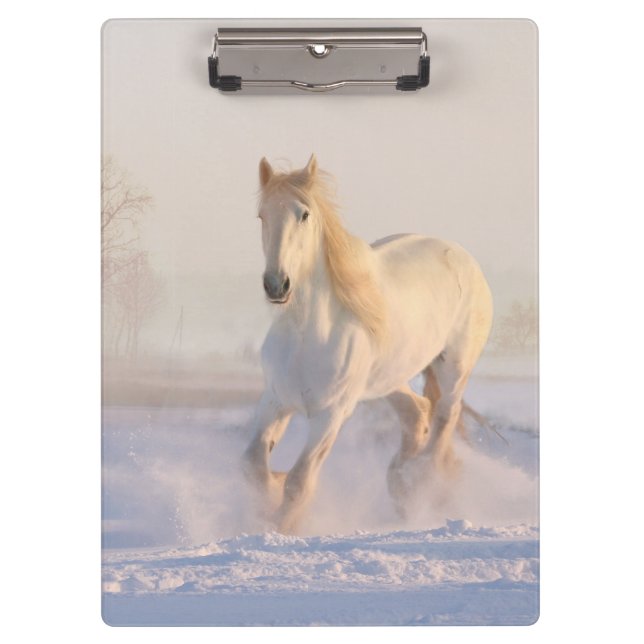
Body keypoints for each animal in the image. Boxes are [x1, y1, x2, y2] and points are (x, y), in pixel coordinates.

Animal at [243, 155, 493, 533]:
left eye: (304, 214)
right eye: (262, 215)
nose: (276, 284)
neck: (306, 335)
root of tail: (463, 257)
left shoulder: (331, 414)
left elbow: (299, 482)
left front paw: (282, 526)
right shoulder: (275, 400)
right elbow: (254, 465)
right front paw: (271, 494)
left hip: (454, 367)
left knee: (444, 418)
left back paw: (420, 483)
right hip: (387, 379)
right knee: (417, 412)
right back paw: (401, 484)